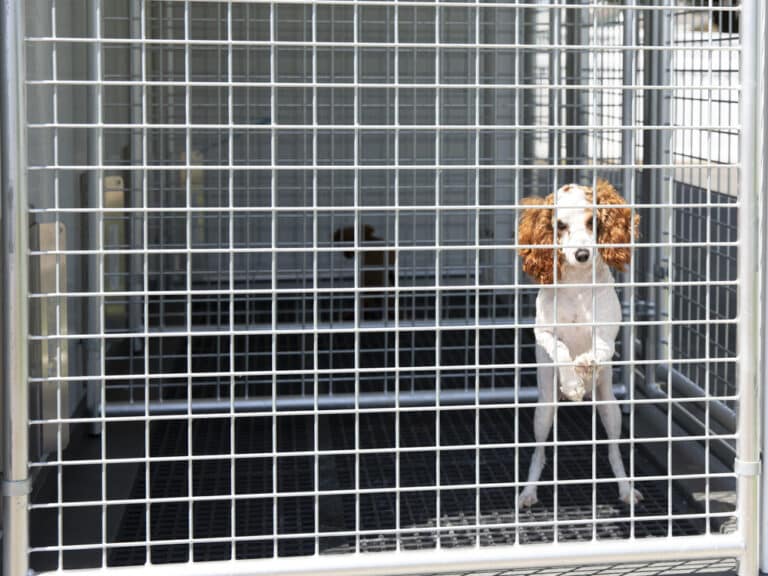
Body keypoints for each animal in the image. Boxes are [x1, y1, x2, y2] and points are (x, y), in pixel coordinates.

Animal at [516, 180, 640, 508]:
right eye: (559, 225)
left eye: (592, 222)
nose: (582, 253)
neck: (578, 285)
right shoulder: (543, 333)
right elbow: (560, 350)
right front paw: (573, 383)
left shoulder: (608, 335)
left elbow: (599, 350)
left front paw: (585, 365)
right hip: (544, 410)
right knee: (539, 452)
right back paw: (528, 491)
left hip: (610, 409)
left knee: (613, 451)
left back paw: (626, 488)